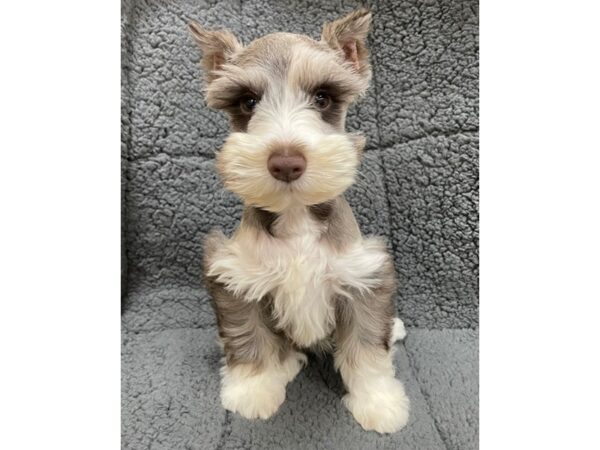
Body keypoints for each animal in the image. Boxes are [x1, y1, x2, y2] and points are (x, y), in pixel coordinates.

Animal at [190, 8, 410, 434]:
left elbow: (366, 348)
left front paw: (378, 402)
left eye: (322, 97)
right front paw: (254, 390)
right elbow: (250, 338)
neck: (296, 219)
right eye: (248, 101)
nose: (286, 161)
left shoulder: (363, 278)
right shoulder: (236, 280)